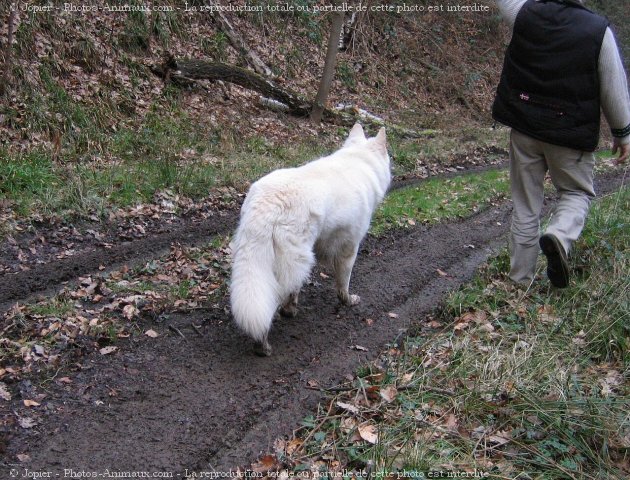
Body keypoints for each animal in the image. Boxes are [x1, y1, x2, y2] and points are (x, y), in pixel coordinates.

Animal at [230, 124, 392, 356]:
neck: (359, 160)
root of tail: (268, 204)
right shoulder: (349, 249)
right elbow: (343, 284)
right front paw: (347, 301)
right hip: (295, 261)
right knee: (273, 299)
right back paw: (263, 343)